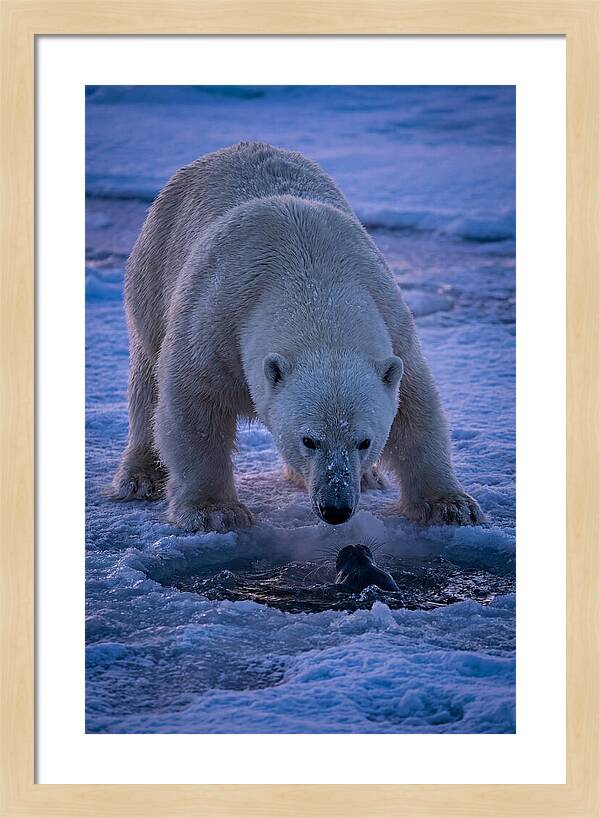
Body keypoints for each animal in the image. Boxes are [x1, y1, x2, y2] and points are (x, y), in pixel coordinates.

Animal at [112, 141, 483, 532]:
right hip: (153, 270)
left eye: (364, 441)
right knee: (147, 378)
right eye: (309, 440)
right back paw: (140, 477)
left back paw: (368, 478)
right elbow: (194, 408)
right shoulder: (214, 321)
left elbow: (416, 409)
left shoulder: (393, 323)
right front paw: (214, 511)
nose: (336, 508)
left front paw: (451, 506)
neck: (312, 275)